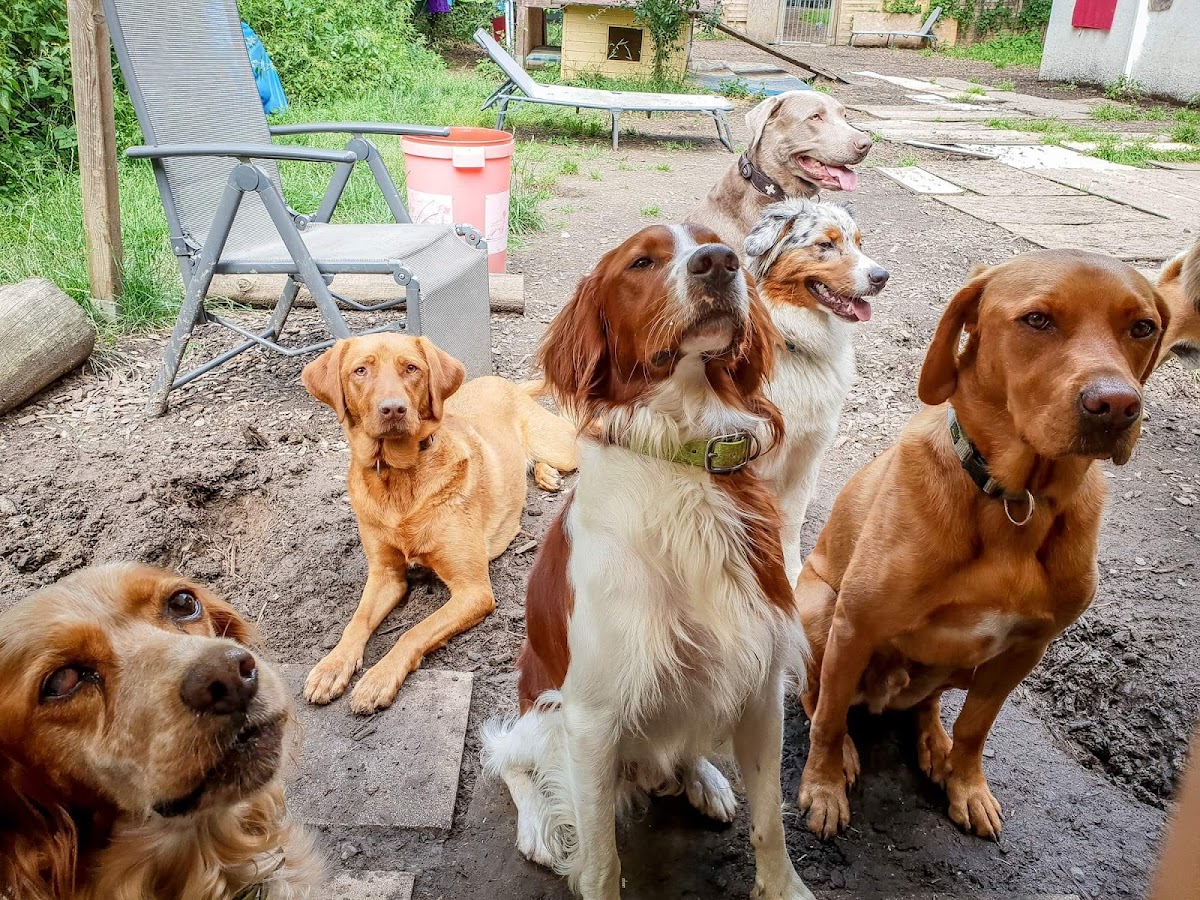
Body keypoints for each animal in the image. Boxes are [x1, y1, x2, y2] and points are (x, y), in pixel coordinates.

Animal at [302, 334, 577, 715]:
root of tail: (501, 381)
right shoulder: (385, 575)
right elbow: (356, 622)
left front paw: (378, 678)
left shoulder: (473, 590)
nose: (393, 409)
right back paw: (544, 474)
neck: (400, 480)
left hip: (561, 446)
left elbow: (415, 631)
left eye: (411, 368)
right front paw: (332, 665)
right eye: (360, 370)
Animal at [482, 224, 815, 900]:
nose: (721, 263)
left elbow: (771, 823)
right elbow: (602, 862)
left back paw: (702, 779)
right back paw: (536, 826)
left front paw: (783, 887)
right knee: (512, 758)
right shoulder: (590, 719)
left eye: (717, 242)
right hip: (544, 712)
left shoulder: (761, 681)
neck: (681, 458)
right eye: (642, 262)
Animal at [745, 199, 889, 584]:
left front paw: (793, 574)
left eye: (859, 243)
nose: (881, 276)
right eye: (825, 244)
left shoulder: (806, 454)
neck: (790, 343)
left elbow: (791, 523)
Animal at [793, 250, 1169, 840]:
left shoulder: (1023, 651)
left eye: (1143, 328)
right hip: (818, 609)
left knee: (926, 703)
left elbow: (975, 728)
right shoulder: (854, 624)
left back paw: (933, 744)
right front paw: (825, 785)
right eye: (1037, 320)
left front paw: (966, 784)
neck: (1016, 498)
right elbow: (829, 719)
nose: (1116, 405)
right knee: (817, 697)